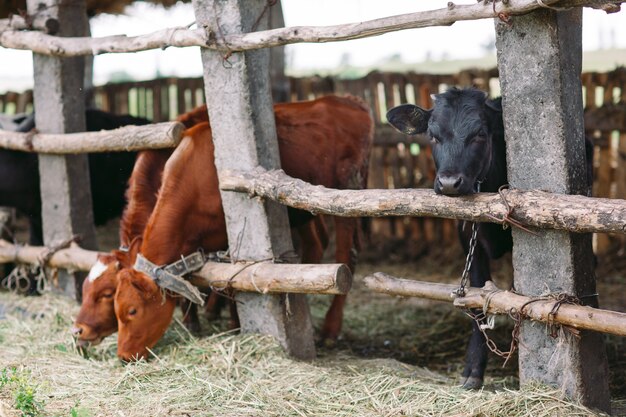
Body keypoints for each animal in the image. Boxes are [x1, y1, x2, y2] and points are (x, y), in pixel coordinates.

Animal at [114, 95, 372, 360]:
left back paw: (330, 330)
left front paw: (233, 324)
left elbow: (231, 279)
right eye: (115, 309)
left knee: (347, 255)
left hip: (346, 195)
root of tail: (346, 100)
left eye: (132, 311)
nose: (123, 355)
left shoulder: (228, 235)